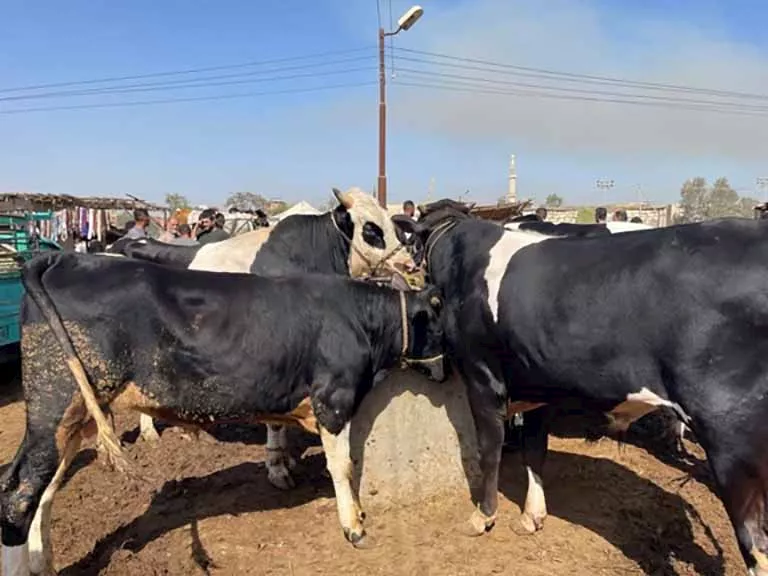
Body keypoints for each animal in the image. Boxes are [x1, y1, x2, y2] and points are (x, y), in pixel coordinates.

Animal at [0, 251, 445, 576]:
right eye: (440, 326)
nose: (446, 370)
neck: (356, 319)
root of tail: (63, 258)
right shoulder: (333, 399)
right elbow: (344, 465)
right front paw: (354, 525)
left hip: (72, 417)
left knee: (44, 489)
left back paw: (44, 563)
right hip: (55, 402)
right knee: (20, 489)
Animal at [107, 186, 417, 491]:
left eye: (391, 222)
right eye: (371, 228)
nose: (410, 265)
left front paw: (287, 459)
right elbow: (275, 423)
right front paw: (277, 467)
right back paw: (145, 432)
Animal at [394, 202, 768, 576]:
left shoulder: (482, 379)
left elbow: (489, 451)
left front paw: (483, 516)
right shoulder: (539, 384)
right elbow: (535, 450)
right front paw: (531, 516)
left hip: (728, 435)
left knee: (754, 545)